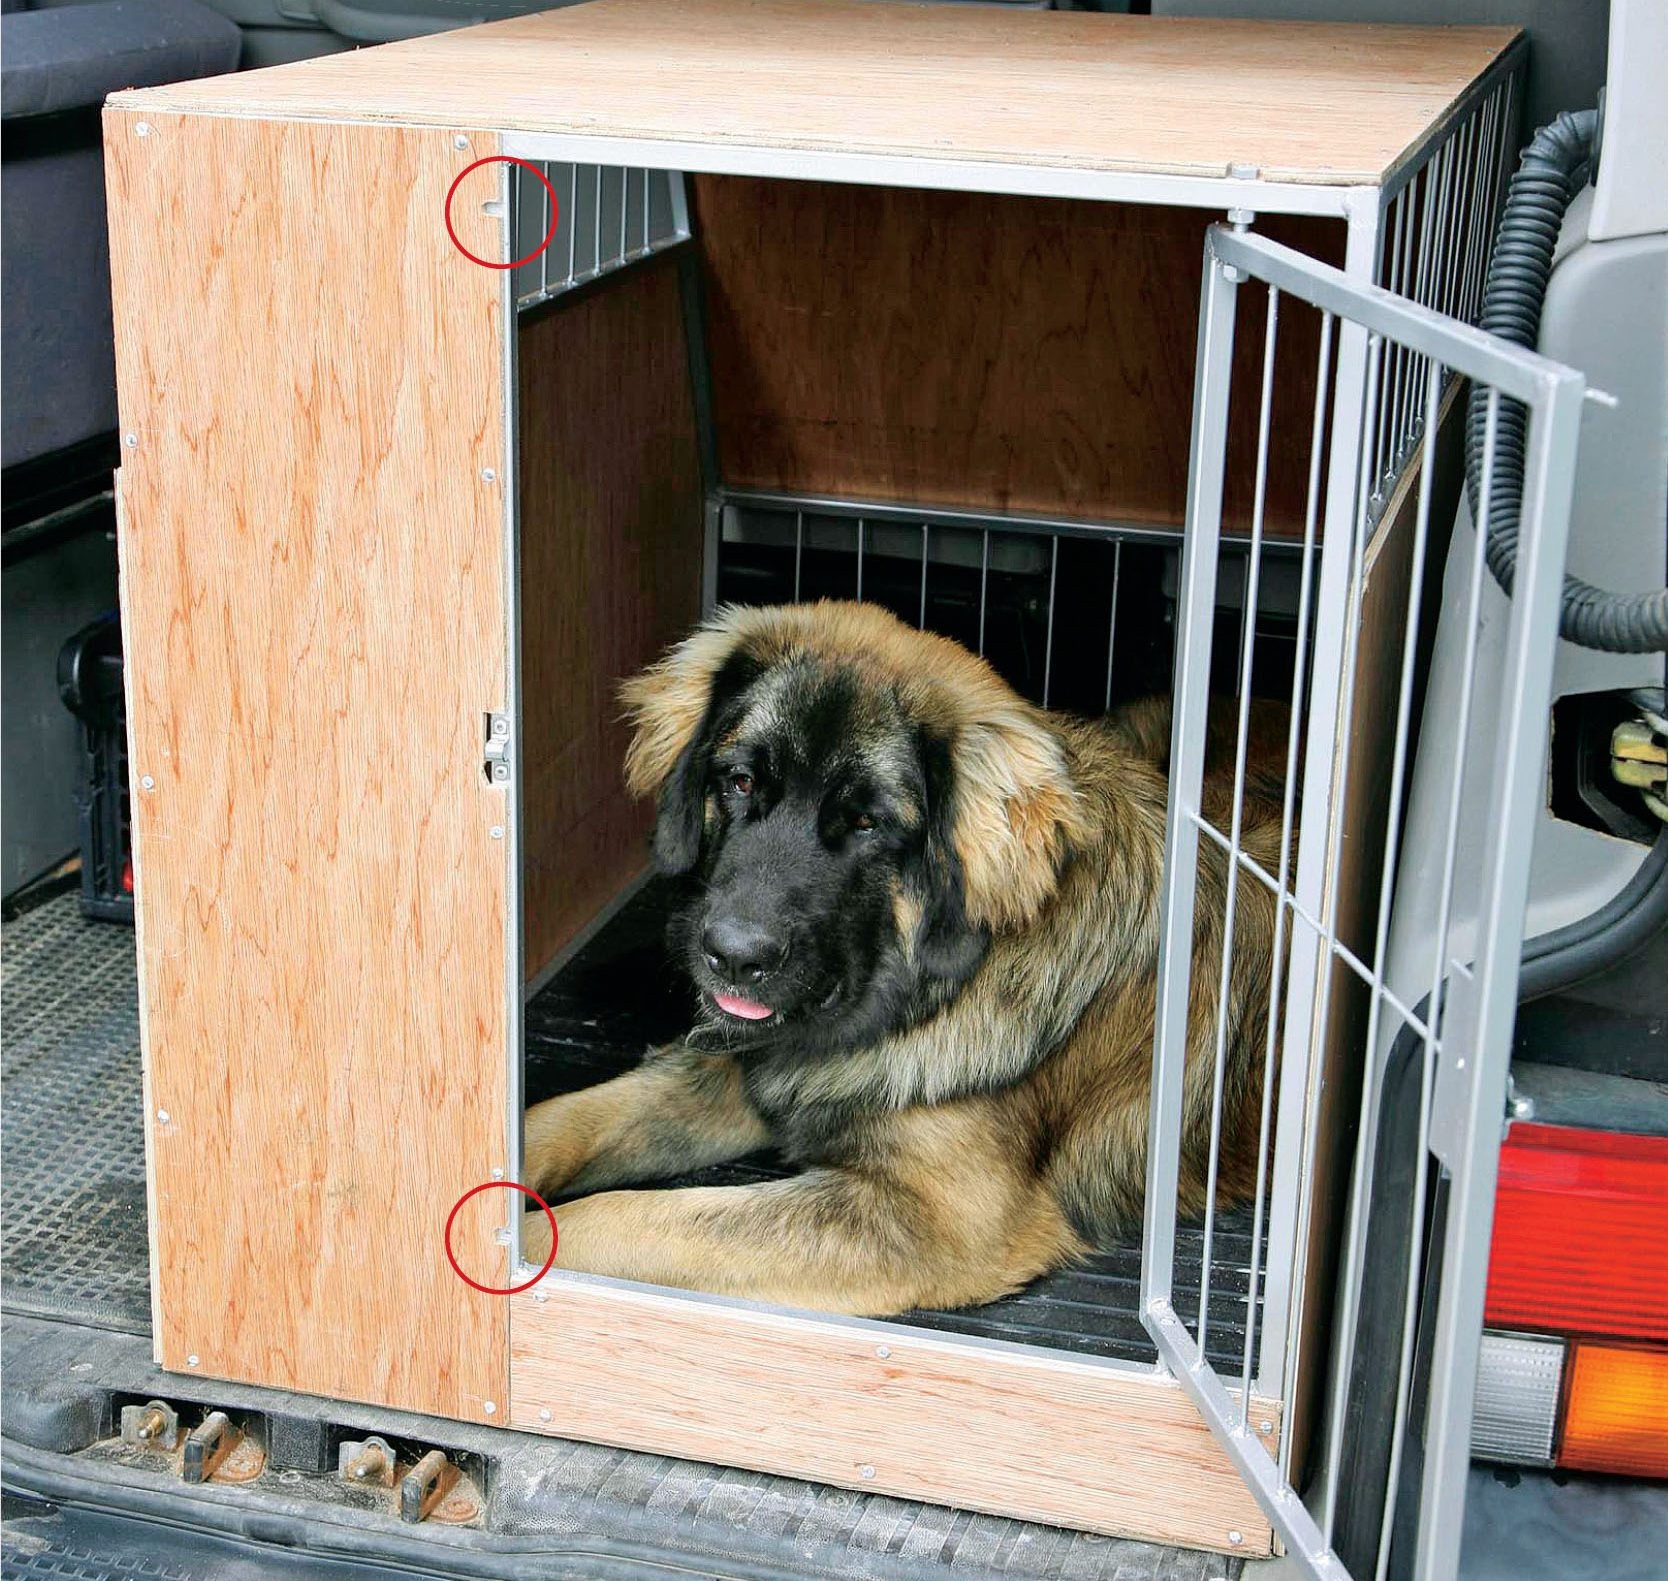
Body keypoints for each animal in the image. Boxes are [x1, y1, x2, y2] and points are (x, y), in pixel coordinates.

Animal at [522, 600, 1290, 1316]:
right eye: (739, 782)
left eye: (868, 823)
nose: (732, 956)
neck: (923, 995)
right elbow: (567, 1117)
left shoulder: (934, 1217)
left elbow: (632, 1216)